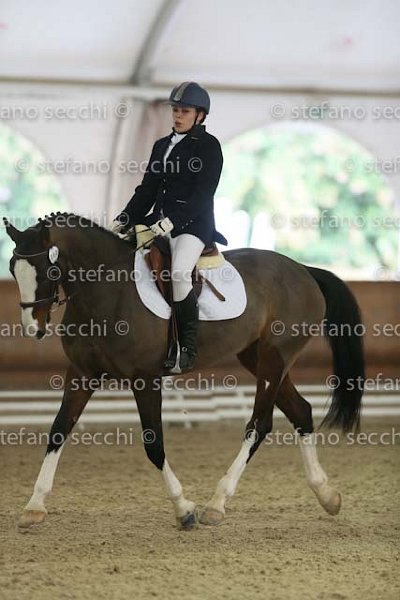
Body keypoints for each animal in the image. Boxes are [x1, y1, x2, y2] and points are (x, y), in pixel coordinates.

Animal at [4, 212, 364, 531]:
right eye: (13, 269)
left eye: (49, 270)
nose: (32, 328)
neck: (107, 291)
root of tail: (303, 269)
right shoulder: (81, 374)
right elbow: (58, 431)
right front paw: (34, 507)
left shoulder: (145, 379)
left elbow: (153, 444)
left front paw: (183, 509)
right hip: (258, 358)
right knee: (300, 411)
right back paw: (327, 495)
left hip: (275, 359)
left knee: (259, 425)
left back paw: (217, 504)